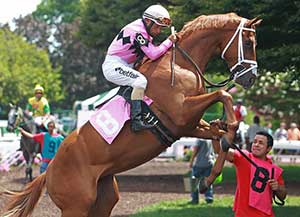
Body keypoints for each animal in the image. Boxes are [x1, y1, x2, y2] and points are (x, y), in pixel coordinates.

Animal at [1, 13, 260, 217]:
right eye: (248, 42)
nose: (251, 78)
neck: (182, 64)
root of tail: (50, 170)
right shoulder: (182, 113)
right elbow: (223, 96)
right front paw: (228, 132)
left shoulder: (188, 126)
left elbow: (216, 132)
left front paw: (209, 177)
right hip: (76, 207)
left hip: (104, 199)